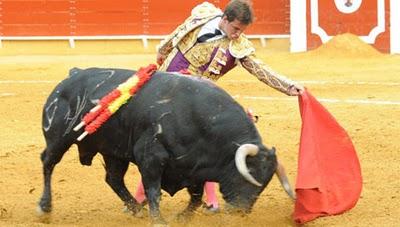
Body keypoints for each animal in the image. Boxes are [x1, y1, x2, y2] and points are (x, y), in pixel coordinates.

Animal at [38, 68, 294, 224]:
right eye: (248, 174)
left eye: (265, 183)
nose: (242, 212)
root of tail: (73, 75)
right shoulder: (151, 158)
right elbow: (154, 191)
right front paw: (159, 220)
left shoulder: (196, 167)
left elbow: (196, 197)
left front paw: (182, 218)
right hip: (58, 138)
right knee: (48, 162)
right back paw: (44, 207)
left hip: (114, 152)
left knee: (113, 179)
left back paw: (136, 209)